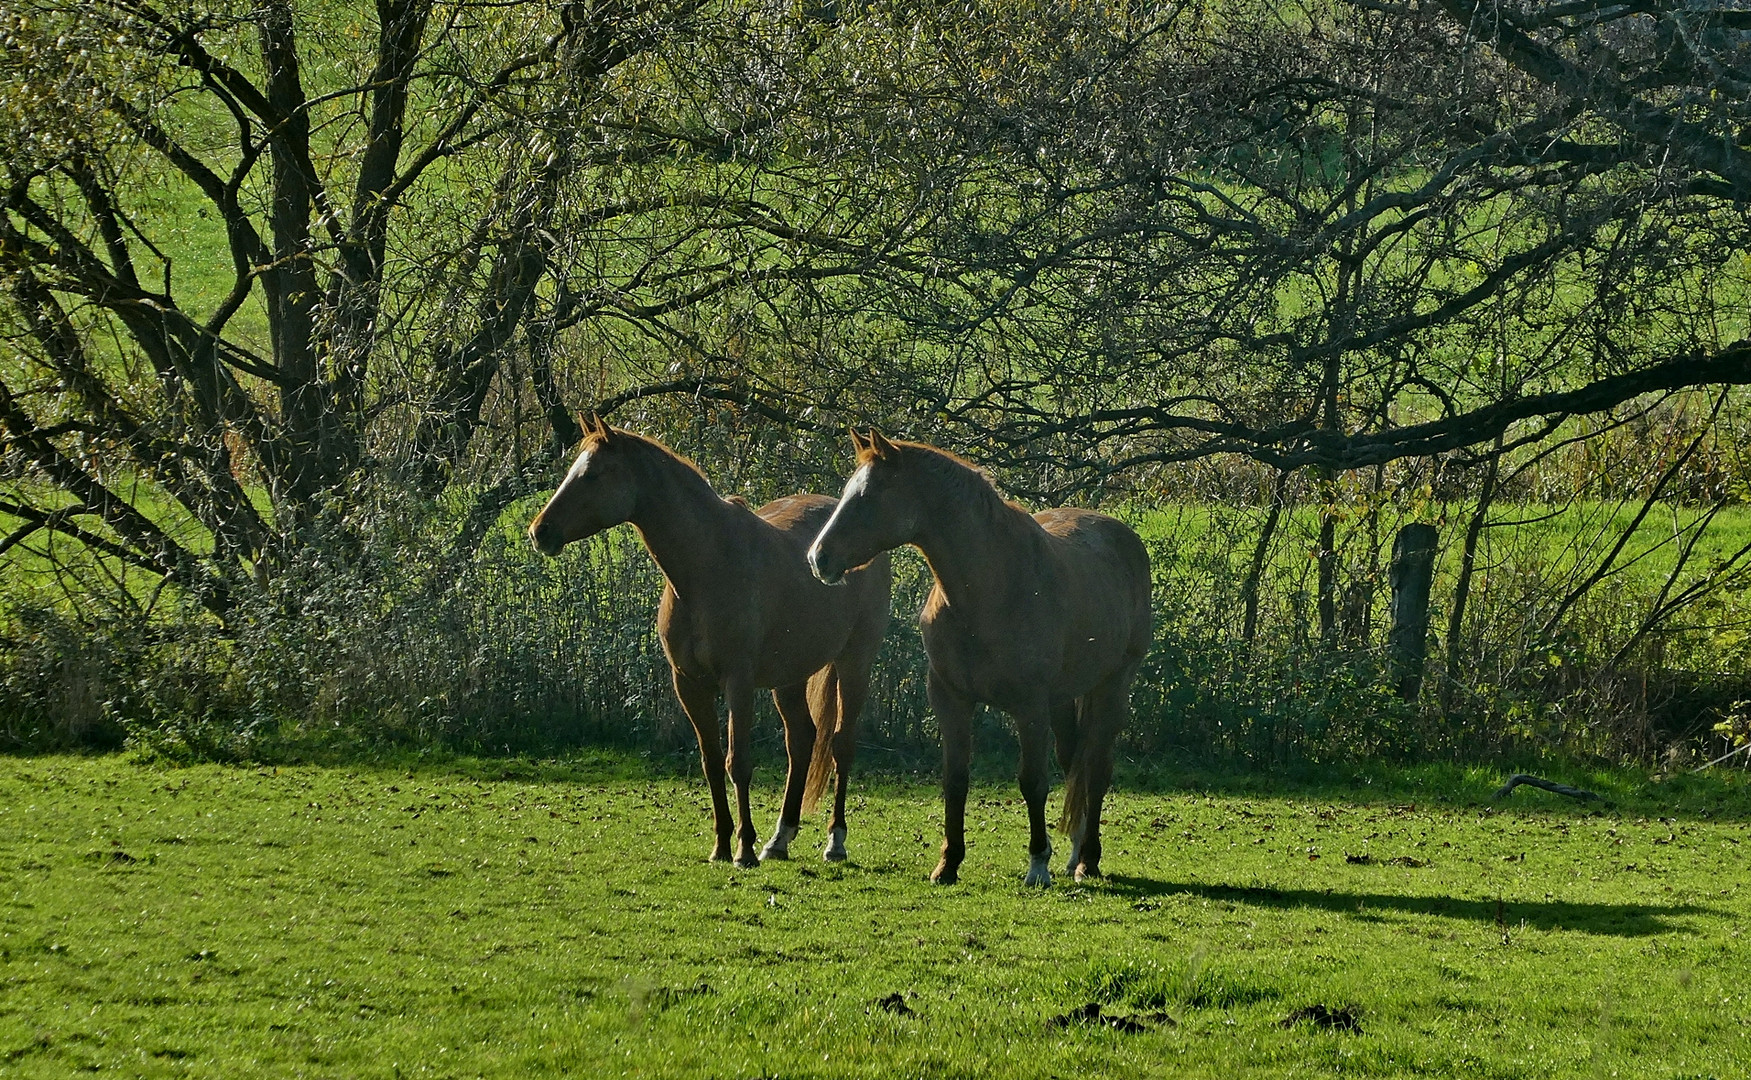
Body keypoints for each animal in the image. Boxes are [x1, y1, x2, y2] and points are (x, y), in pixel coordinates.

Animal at [525, 416, 889, 864]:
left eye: (592, 474)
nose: (540, 531)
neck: (706, 566)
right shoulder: (689, 684)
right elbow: (712, 762)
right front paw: (721, 844)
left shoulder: (738, 682)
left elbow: (739, 763)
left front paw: (743, 848)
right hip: (790, 676)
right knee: (801, 740)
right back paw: (780, 838)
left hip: (854, 662)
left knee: (840, 744)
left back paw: (834, 840)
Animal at [805, 428, 1148, 885]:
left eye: (869, 496)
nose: (818, 558)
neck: (989, 589)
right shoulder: (951, 699)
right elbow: (956, 780)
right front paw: (948, 863)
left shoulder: (1029, 706)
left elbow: (1032, 781)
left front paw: (1038, 864)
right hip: (1064, 698)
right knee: (1074, 761)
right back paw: (1074, 853)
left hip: (1113, 686)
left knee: (1096, 771)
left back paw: (1087, 859)